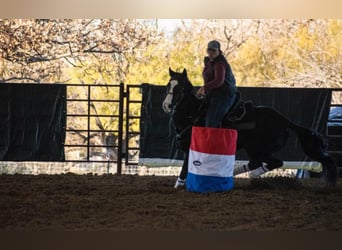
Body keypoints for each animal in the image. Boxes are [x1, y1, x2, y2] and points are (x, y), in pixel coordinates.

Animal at [163, 68, 336, 188]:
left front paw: (179, 184)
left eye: (180, 88)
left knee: (271, 162)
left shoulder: (192, 147)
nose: (167, 105)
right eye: (168, 85)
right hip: (256, 148)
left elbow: (185, 167)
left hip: (258, 147)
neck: (195, 113)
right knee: (265, 162)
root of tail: (284, 120)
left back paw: (246, 174)